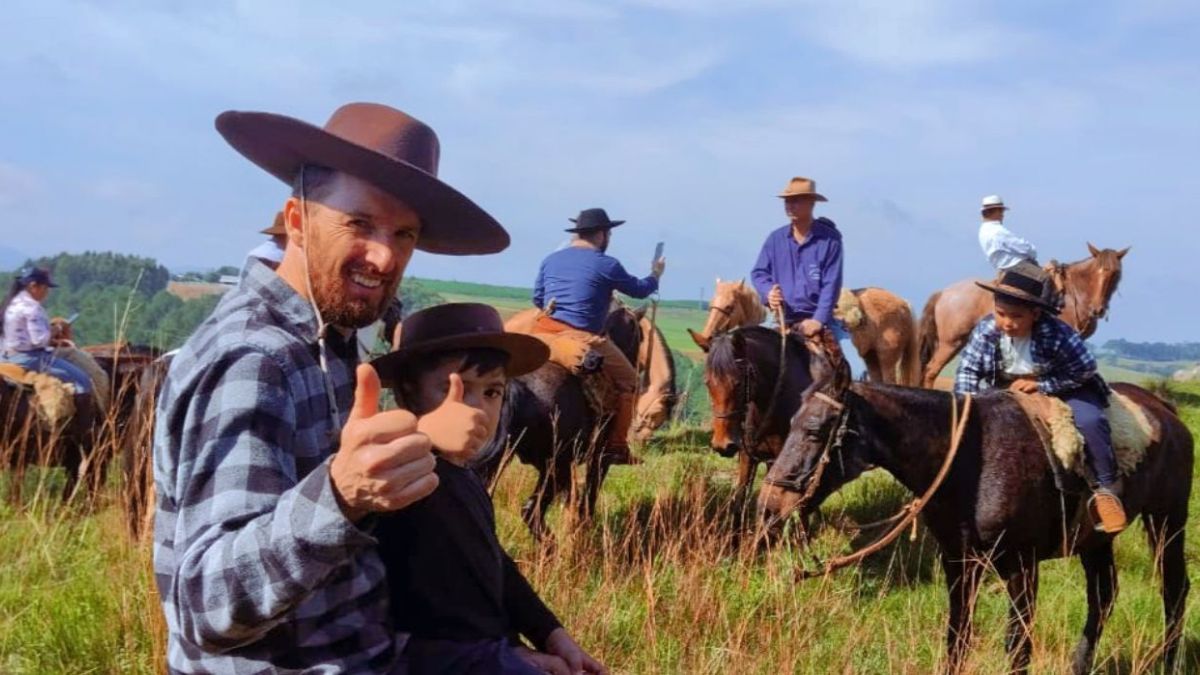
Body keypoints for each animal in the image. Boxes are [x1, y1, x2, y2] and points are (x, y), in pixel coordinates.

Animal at [475, 303, 648, 535]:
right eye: (641, 337)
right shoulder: (598, 459)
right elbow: (590, 493)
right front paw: (584, 527)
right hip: (555, 466)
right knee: (532, 511)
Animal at [758, 331, 1190, 672]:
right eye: (792, 423)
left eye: (816, 431)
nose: (770, 502)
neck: (971, 461)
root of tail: (1167, 413)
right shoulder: (959, 561)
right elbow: (958, 636)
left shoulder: (1021, 564)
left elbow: (1017, 645)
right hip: (1096, 540)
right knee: (1103, 597)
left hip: (1167, 521)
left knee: (1174, 591)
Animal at [916, 243, 1123, 386]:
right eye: (1098, 270)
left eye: (1116, 274)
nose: (1098, 309)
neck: (1072, 296)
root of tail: (943, 292)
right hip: (951, 342)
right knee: (931, 370)